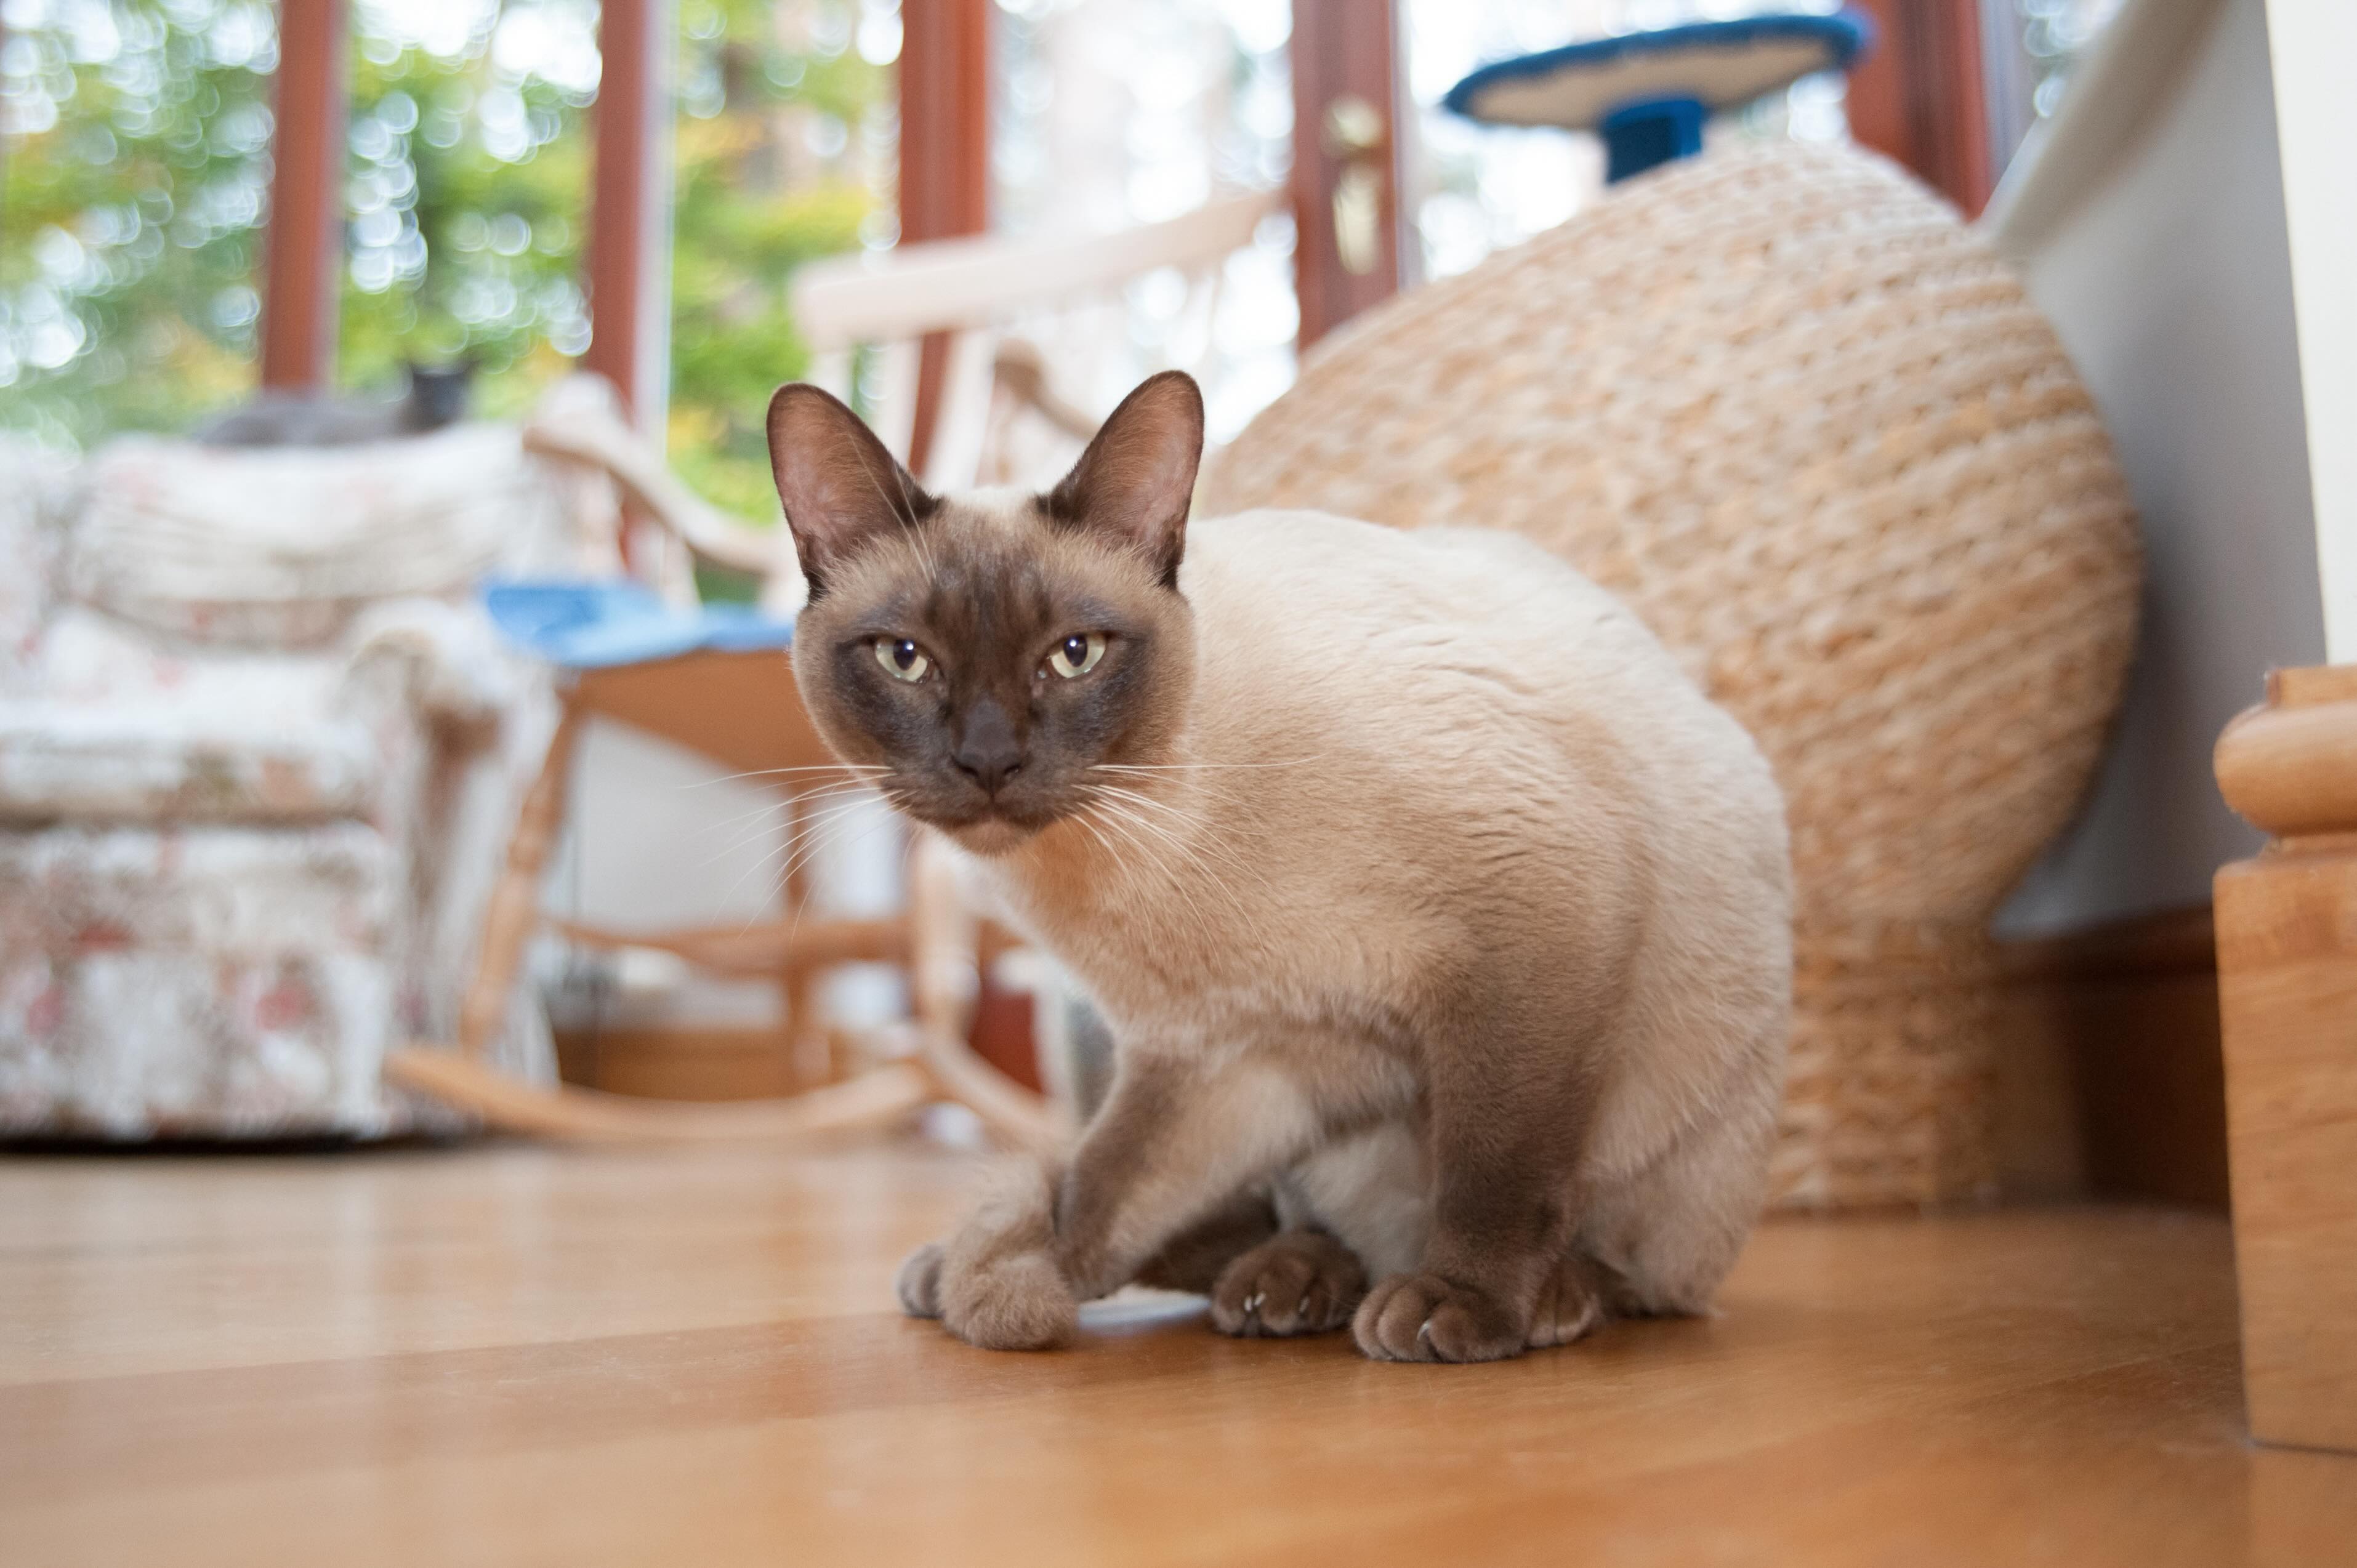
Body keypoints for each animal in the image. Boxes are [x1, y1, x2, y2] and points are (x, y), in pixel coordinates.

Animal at [768, 368, 1781, 1358]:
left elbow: (1495, 1163)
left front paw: (1464, 1303)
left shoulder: (1532, 916)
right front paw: (1010, 1274)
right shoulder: (1227, 1053)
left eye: (1074, 655)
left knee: (1647, 1276)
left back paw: (1546, 1298)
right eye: (906, 660)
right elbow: (1097, 1195)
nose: (987, 762)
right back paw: (1284, 1282)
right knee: (1280, 1227)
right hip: (1315, 1139)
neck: (1143, 846)